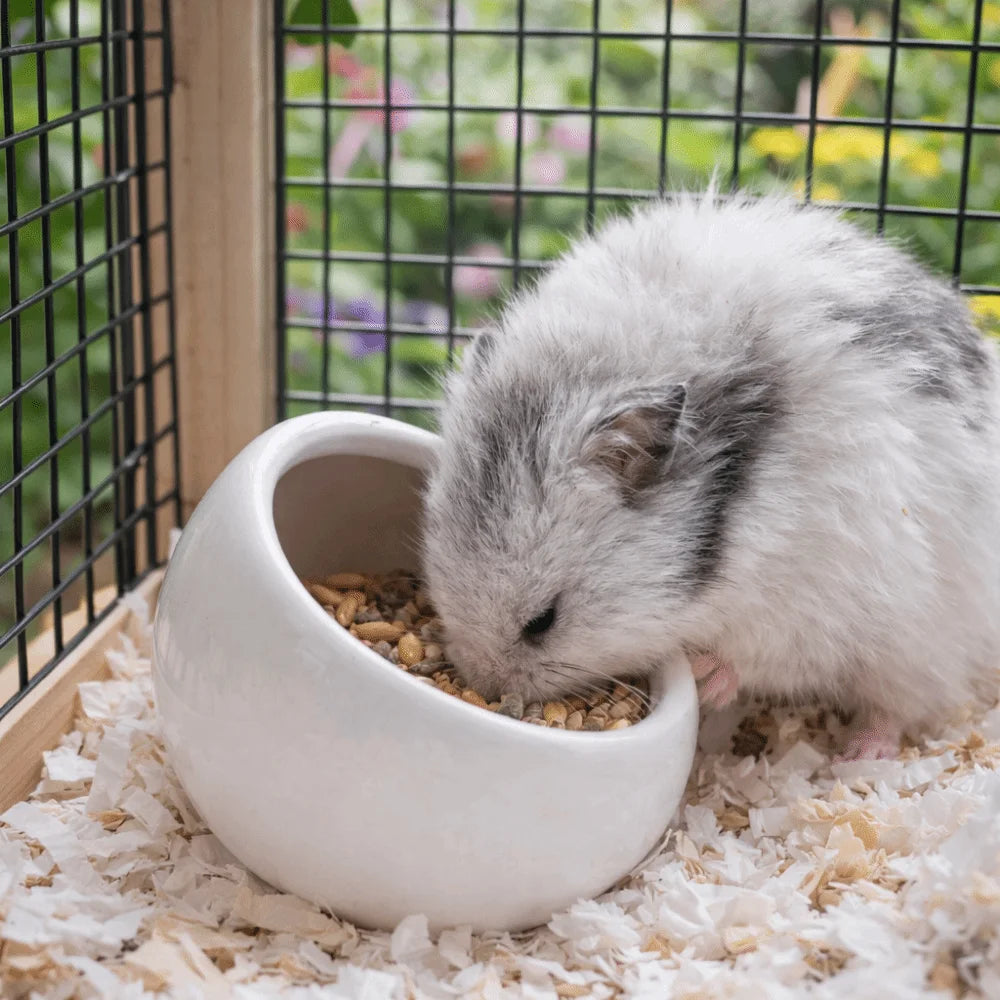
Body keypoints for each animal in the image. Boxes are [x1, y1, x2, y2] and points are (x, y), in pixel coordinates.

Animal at [420, 191, 1000, 760]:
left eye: (544, 620)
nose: (483, 684)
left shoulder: (820, 599)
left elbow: (764, 655)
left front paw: (702, 674)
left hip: (921, 642)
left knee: (899, 704)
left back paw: (859, 756)